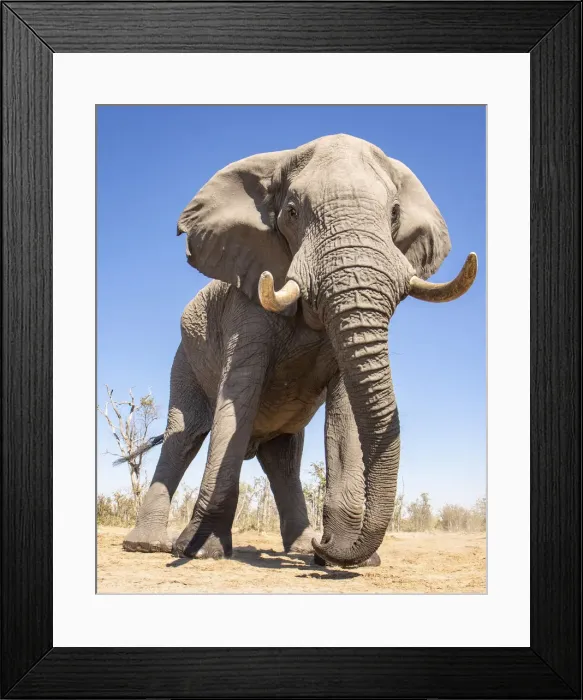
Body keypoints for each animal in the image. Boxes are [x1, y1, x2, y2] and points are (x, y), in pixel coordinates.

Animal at [122, 133, 477, 567]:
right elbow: (236, 400)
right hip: (184, 359)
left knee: (282, 459)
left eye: (394, 213)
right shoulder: (245, 306)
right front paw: (199, 551)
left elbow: (345, 417)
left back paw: (304, 547)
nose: (331, 547)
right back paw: (146, 545)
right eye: (291, 212)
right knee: (184, 435)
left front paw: (347, 559)